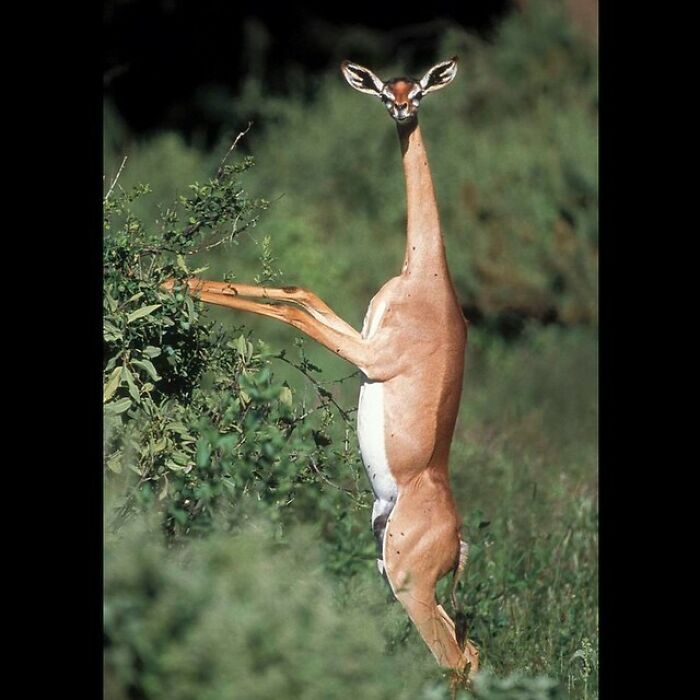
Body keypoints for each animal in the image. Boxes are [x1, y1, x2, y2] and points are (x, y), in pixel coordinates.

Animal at [163, 57, 479, 676]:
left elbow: (292, 314)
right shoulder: (360, 335)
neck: (426, 277)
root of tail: (456, 539)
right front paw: (169, 280)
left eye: (420, 89)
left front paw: (170, 283)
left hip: (409, 585)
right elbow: (299, 291)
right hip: (395, 575)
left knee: (455, 660)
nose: (400, 109)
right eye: (385, 87)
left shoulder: (372, 356)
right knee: (471, 652)